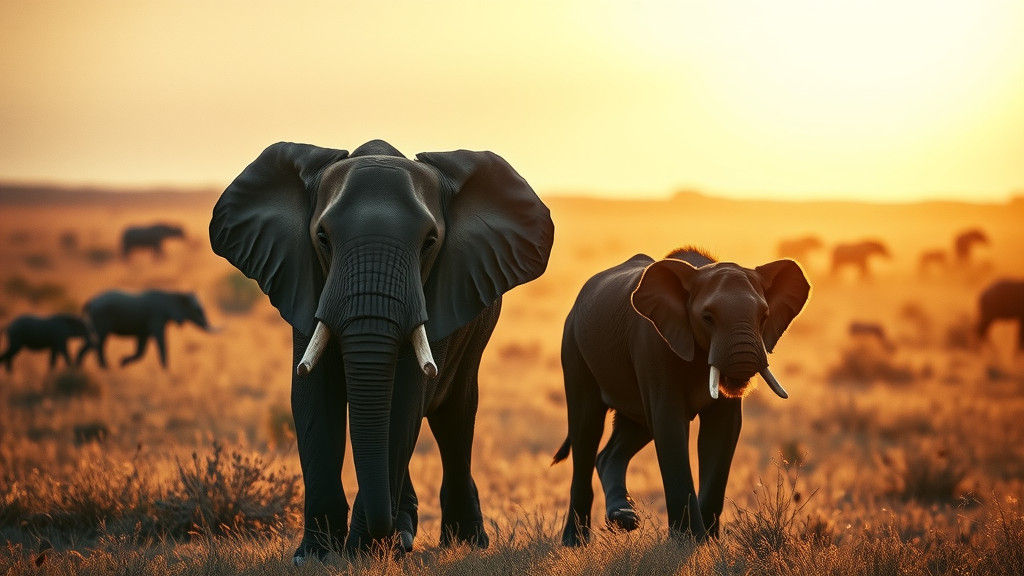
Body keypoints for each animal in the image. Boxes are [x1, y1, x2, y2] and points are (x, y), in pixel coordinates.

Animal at [75, 289, 211, 368]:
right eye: (196, 310)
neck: (172, 294)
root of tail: (90, 302)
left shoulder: (144, 330)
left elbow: (141, 350)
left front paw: (123, 363)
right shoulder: (157, 318)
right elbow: (161, 341)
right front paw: (166, 370)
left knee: (94, 342)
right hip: (101, 319)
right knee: (98, 342)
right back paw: (105, 368)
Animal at [209, 140, 553, 562]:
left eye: (430, 242)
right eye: (322, 237)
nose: (386, 534)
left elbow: (403, 399)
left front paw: (363, 551)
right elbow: (312, 396)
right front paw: (317, 556)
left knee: (454, 415)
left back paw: (459, 541)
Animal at [553, 247, 810, 545]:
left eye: (764, 316)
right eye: (707, 317)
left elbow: (722, 431)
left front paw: (707, 544)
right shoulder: (653, 345)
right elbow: (670, 424)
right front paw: (687, 541)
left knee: (631, 430)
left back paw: (624, 518)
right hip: (573, 346)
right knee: (586, 427)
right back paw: (575, 541)